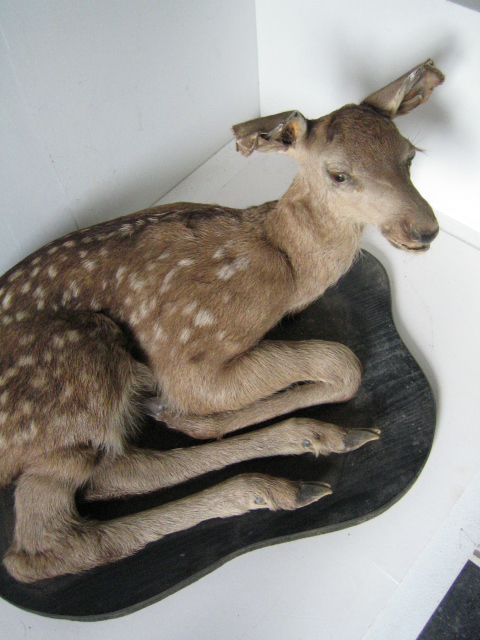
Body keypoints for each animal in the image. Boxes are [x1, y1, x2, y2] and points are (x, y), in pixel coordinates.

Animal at [0, 60, 444, 582]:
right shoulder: (186, 352)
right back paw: (275, 483)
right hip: (73, 366)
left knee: (114, 475)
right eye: (339, 173)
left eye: (409, 155)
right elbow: (344, 362)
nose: (426, 229)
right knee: (38, 547)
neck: (288, 266)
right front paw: (188, 416)